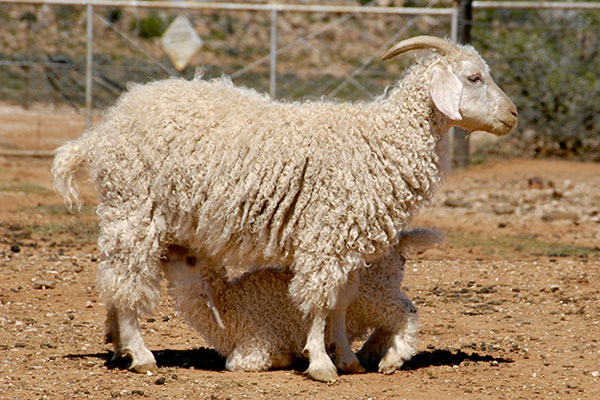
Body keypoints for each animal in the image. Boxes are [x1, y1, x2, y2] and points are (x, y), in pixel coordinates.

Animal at [162, 230, 442, 374]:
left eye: (191, 261)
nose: (165, 251)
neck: (229, 306)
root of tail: (398, 240)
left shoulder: (256, 341)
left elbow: (234, 363)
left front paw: (283, 359)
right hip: (380, 293)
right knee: (388, 323)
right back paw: (366, 354)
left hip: (376, 294)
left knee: (407, 312)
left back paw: (391, 360)